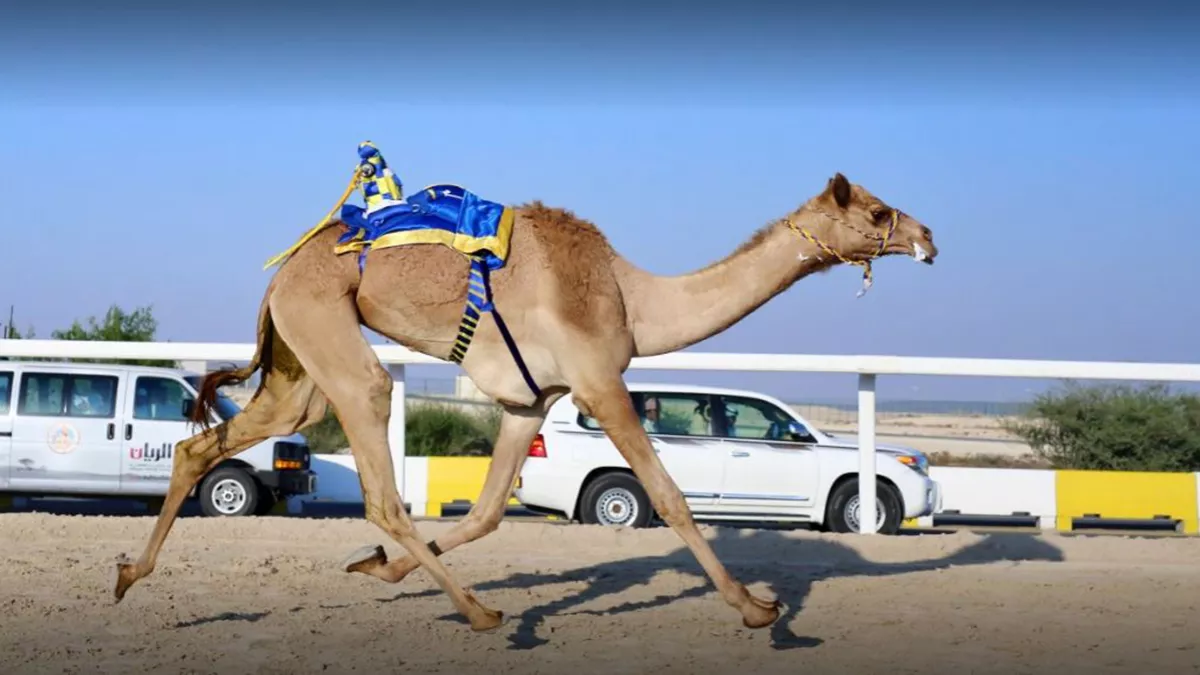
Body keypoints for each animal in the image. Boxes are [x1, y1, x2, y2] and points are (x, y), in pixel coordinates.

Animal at [111, 155, 938, 634]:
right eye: (874, 212)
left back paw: (127, 575)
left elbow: (483, 514)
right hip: (328, 327)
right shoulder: (601, 380)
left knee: (209, 443)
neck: (631, 298)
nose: (927, 236)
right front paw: (759, 608)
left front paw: (379, 569)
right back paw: (478, 610)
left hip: (299, 355)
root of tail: (281, 271)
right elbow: (670, 496)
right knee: (378, 468)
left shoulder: (528, 402)